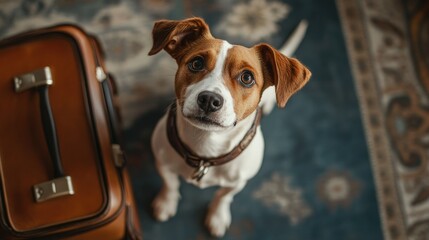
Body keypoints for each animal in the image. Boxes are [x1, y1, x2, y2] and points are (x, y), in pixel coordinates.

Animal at [149, 17, 310, 237]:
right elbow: (170, 183)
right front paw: (166, 202)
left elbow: (223, 196)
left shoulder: (238, 181)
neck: (206, 146)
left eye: (247, 77)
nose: (209, 99)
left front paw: (218, 216)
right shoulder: (162, 161)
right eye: (196, 63)